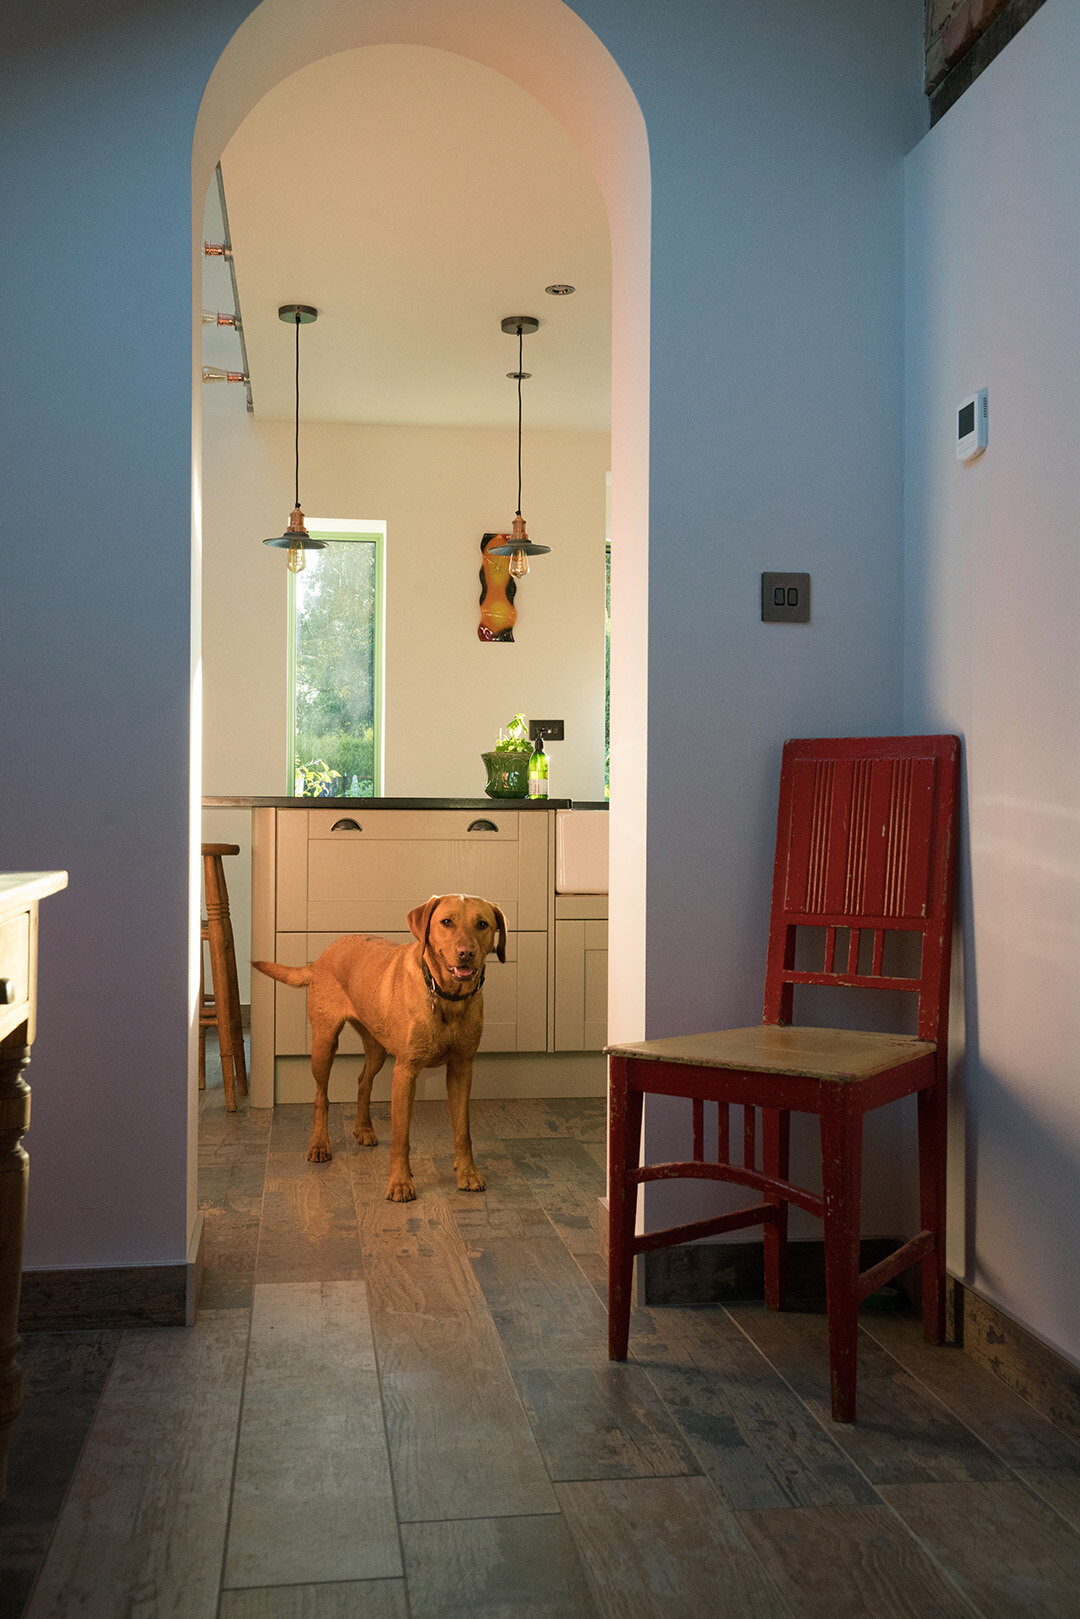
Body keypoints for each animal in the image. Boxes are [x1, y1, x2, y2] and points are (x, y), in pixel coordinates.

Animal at [254, 900, 508, 1204]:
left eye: (482, 924)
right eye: (446, 922)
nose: (466, 954)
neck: (446, 998)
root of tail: (323, 955)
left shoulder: (461, 1069)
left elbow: (463, 1132)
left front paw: (468, 1174)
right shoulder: (405, 1072)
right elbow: (401, 1138)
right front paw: (400, 1183)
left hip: (376, 1048)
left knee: (363, 1081)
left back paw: (363, 1129)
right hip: (323, 1044)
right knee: (321, 1097)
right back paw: (320, 1145)